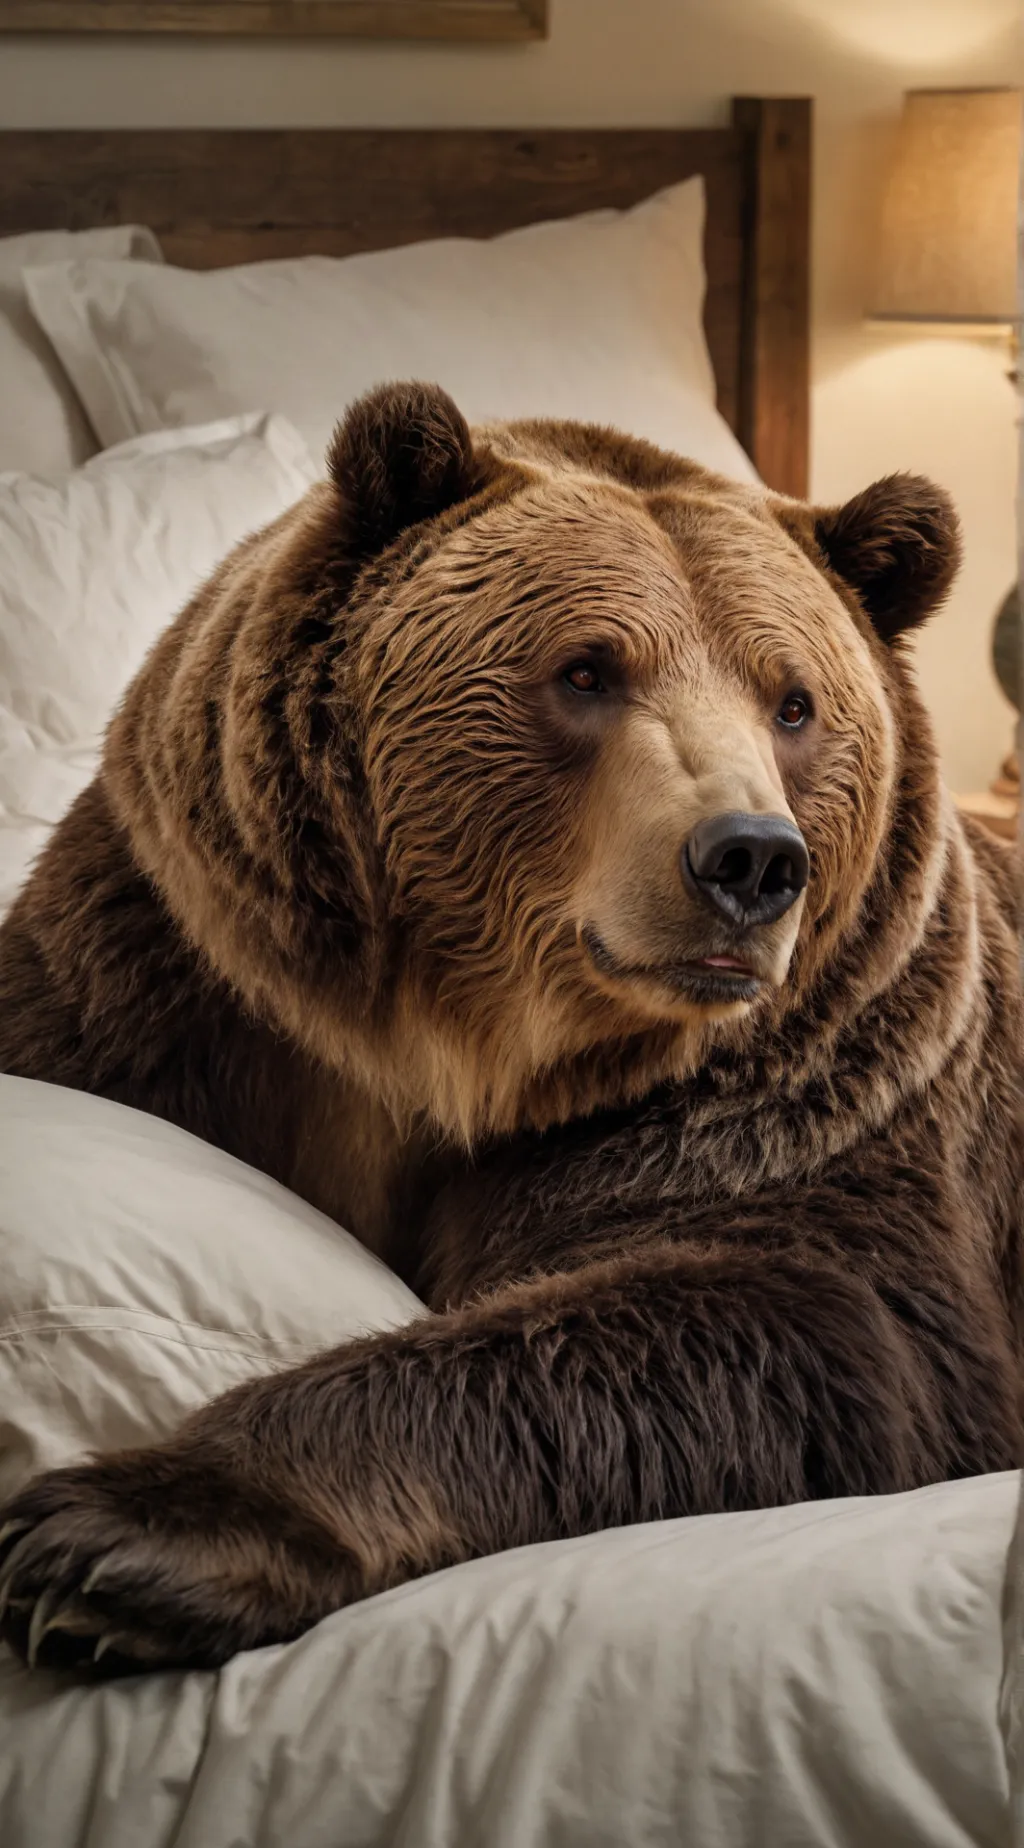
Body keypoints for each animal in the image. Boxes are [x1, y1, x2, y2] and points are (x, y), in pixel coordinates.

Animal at [0, 381, 1020, 1674]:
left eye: (793, 702)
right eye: (586, 671)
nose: (749, 859)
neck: (461, 1050)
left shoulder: (799, 1101)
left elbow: (812, 1318)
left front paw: (112, 1539)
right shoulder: (169, 981)